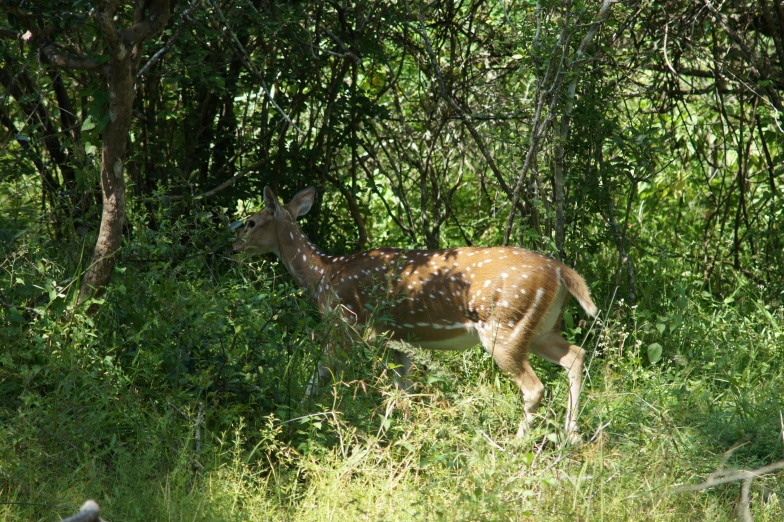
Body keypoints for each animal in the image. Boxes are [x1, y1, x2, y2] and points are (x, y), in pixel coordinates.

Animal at [233, 185, 600, 436]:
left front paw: (300, 412)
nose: (232, 246)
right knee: (575, 356)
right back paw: (571, 435)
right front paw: (404, 430)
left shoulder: (348, 324)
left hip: (503, 328)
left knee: (535, 387)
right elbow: (404, 391)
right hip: (540, 328)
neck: (324, 275)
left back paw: (518, 441)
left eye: (250, 222)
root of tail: (561, 270)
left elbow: (322, 371)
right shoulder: (399, 340)